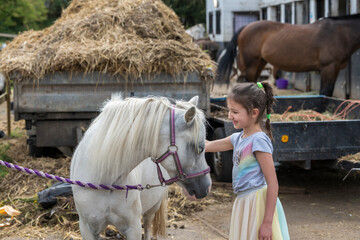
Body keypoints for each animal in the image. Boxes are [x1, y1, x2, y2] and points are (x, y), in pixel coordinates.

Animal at [70, 94, 211, 239]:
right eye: (200, 148)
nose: (206, 187)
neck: (105, 181)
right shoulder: (87, 229)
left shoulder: (133, 227)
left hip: (152, 207)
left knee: (148, 227)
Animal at [217, 14, 360, 95]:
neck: (339, 33)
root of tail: (245, 27)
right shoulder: (329, 68)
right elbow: (325, 92)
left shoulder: (333, 69)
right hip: (251, 64)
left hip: (260, 63)